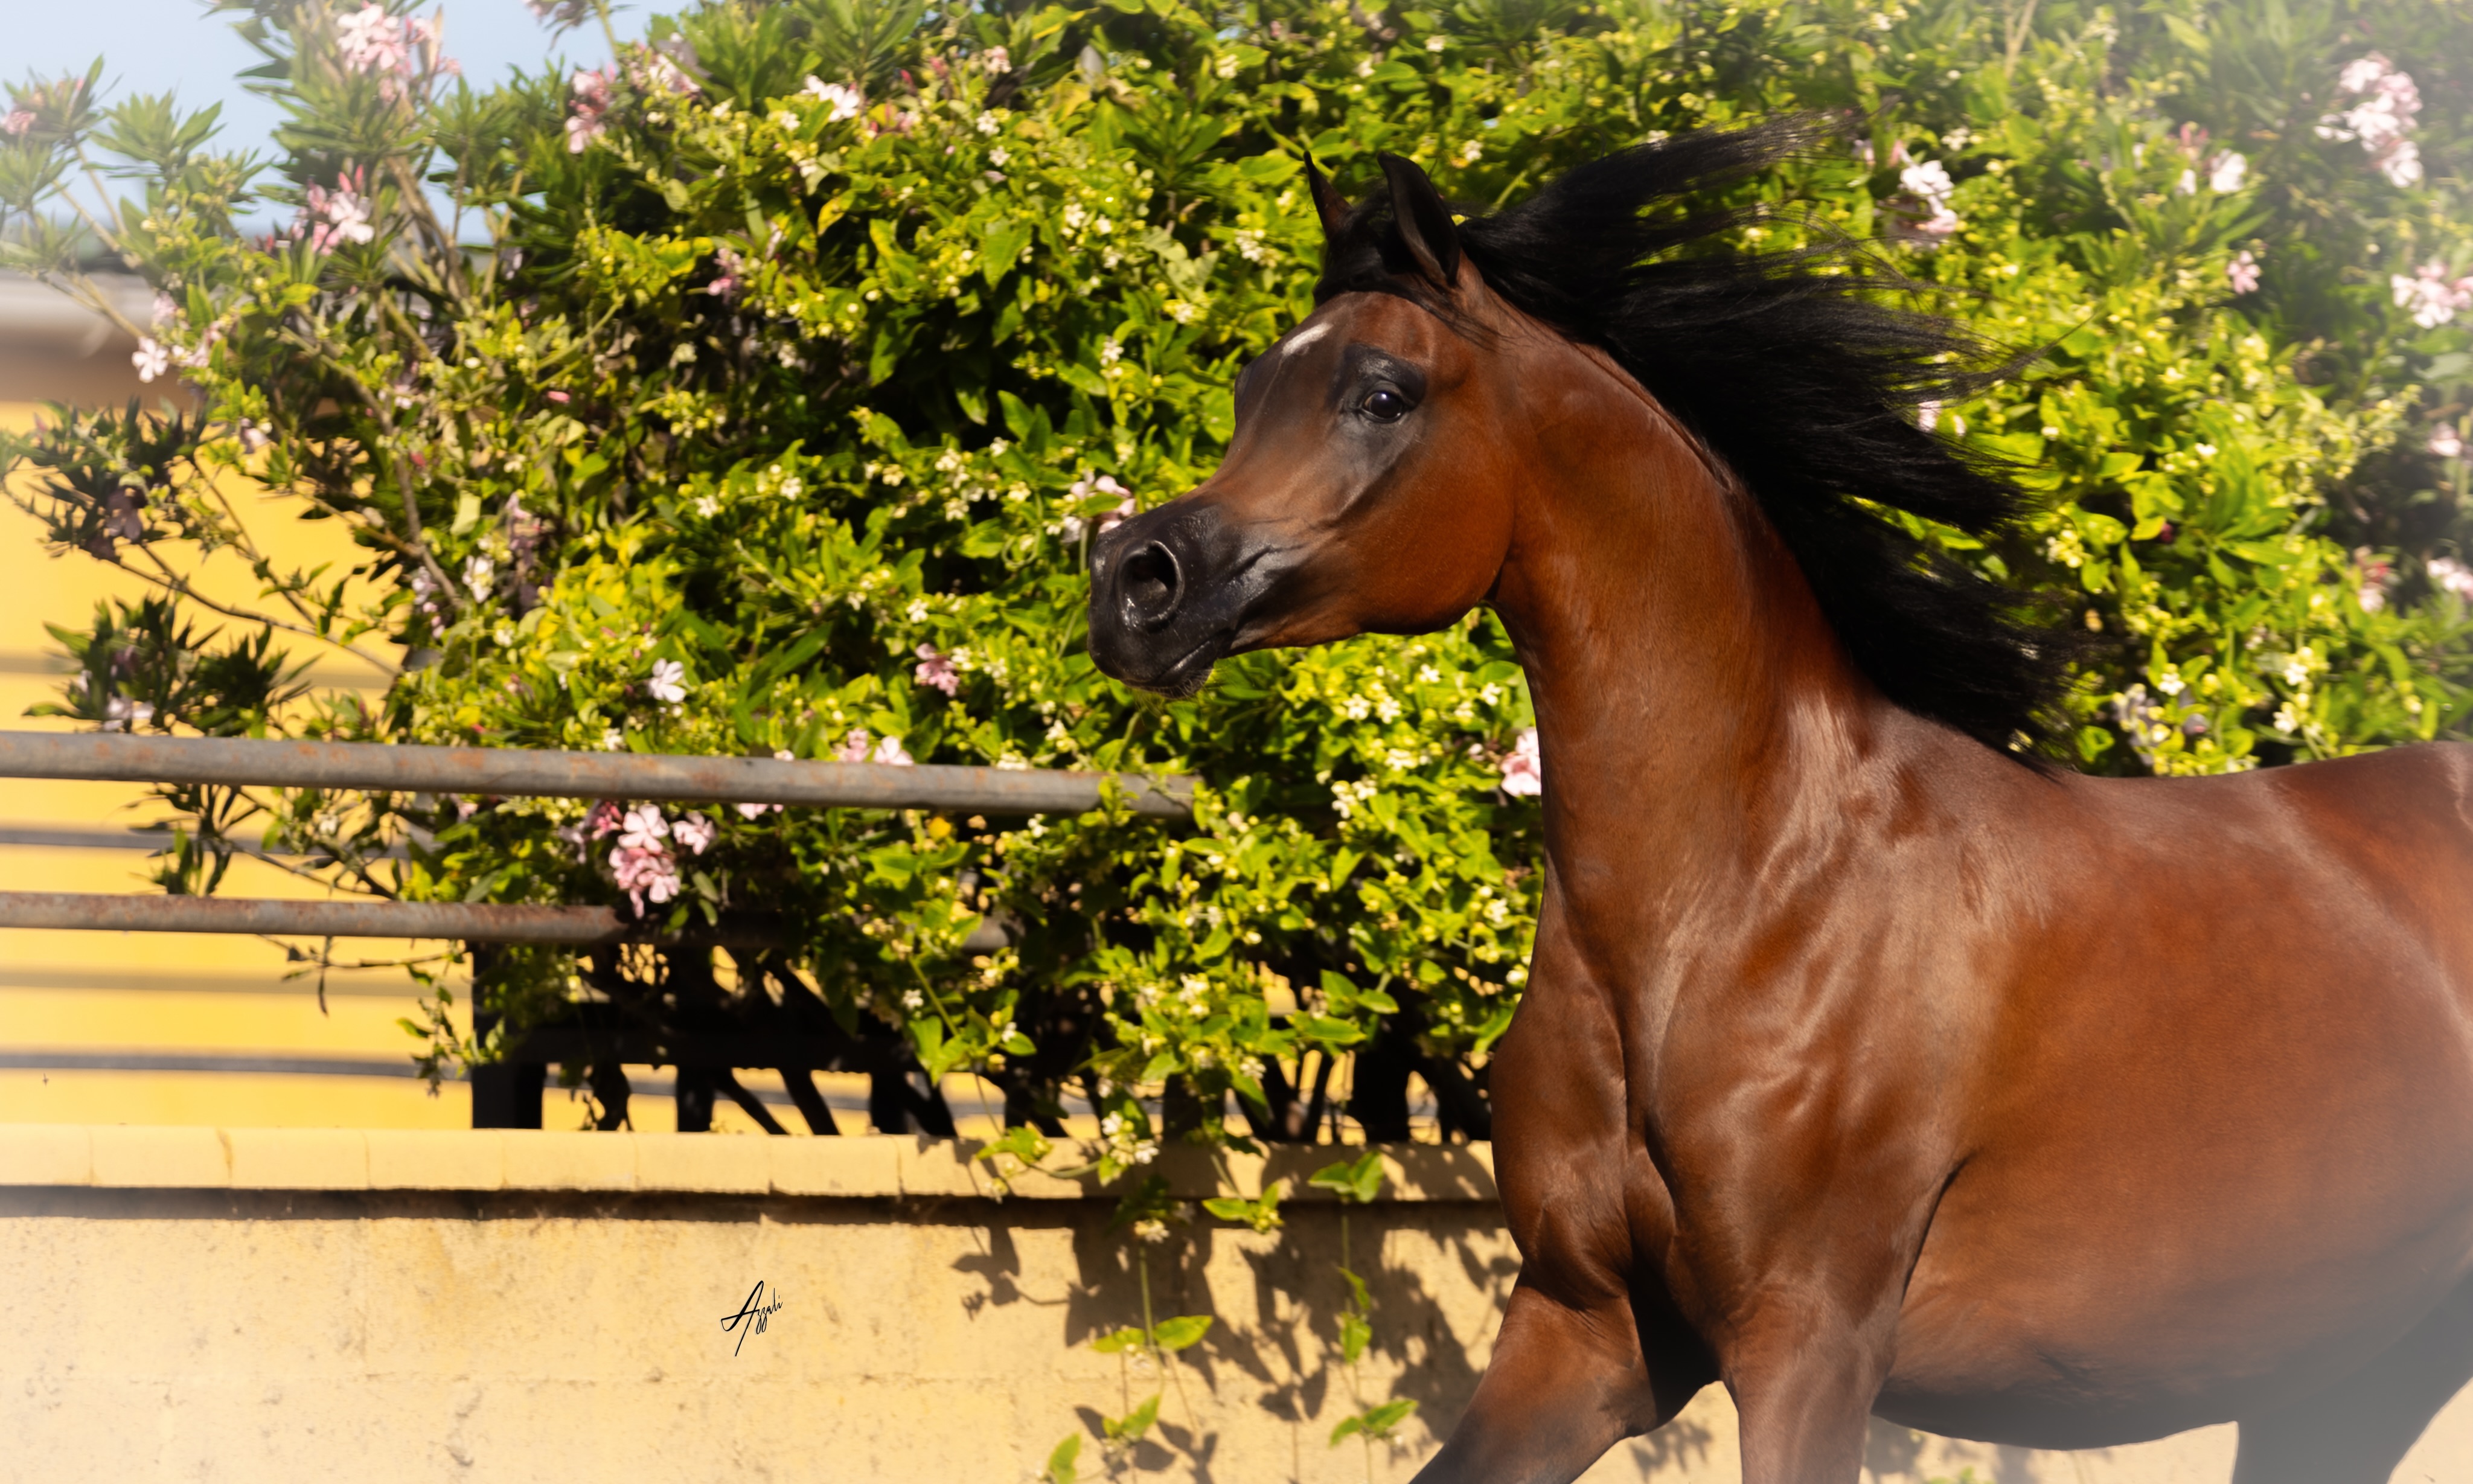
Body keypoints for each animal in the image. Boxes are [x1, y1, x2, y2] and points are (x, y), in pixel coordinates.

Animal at [1083, 122, 2473, 1484]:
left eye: (1381, 393)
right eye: (1250, 390)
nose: (1135, 582)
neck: (1743, 901)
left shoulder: (1806, 1343)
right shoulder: (1584, 1328)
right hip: (2346, 1376)